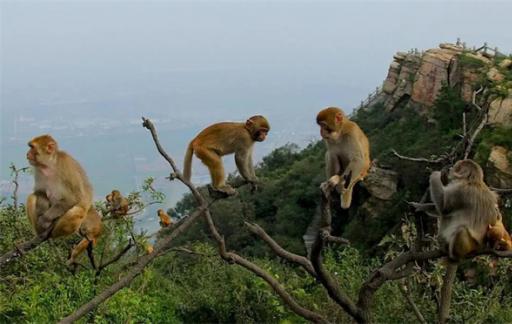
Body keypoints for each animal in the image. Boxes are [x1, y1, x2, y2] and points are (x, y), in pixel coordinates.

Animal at [25, 134, 101, 266]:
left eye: (32, 147)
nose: (27, 154)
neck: (50, 165)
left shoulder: (66, 165)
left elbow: (74, 197)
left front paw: (45, 219)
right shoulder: (39, 170)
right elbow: (39, 192)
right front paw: (41, 213)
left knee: (77, 211)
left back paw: (53, 234)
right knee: (32, 197)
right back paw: (40, 233)